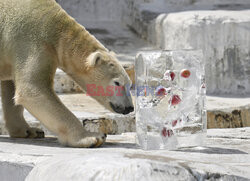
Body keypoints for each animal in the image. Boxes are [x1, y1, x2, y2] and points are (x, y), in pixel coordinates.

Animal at [0, 0, 135, 147]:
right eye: (117, 82)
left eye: (129, 83)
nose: (129, 107)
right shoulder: (31, 42)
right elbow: (32, 89)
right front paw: (93, 137)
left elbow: (10, 87)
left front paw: (30, 131)